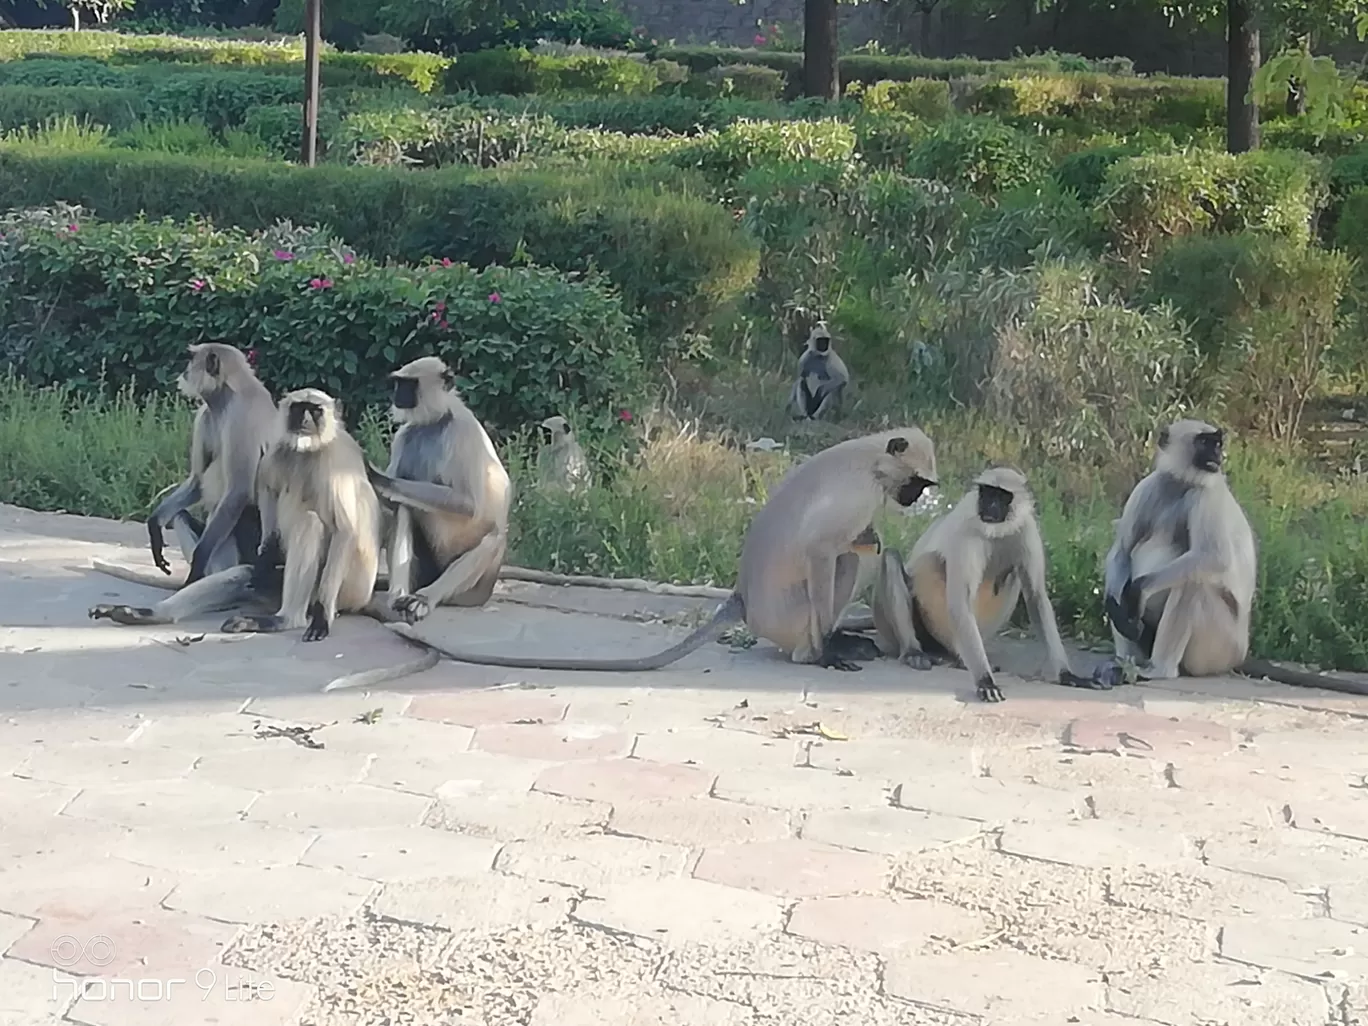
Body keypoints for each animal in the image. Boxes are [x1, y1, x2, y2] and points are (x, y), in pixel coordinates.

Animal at [88, 346, 277, 626]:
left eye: (190, 359)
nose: (182, 371)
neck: (225, 400)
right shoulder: (205, 416)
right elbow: (197, 481)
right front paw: (155, 526)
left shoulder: (241, 418)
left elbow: (238, 491)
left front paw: (196, 565)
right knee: (180, 515)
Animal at [221, 388, 380, 642]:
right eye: (299, 408)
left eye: (315, 410)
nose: (304, 420)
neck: (310, 451)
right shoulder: (280, 450)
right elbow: (267, 487)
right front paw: (268, 551)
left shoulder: (334, 464)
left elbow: (344, 531)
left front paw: (322, 616)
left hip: (351, 588)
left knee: (310, 521)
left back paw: (284, 619)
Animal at [366, 358, 511, 623]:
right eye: (399, 383)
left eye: (409, 385)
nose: (397, 395)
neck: (435, 421)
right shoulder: (405, 435)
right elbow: (395, 503)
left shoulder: (464, 430)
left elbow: (469, 505)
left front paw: (377, 476)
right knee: (405, 508)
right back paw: (399, 597)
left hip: (477, 588)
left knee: (495, 536)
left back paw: (424, 599)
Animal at [391, 426, 935, 675]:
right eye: (917, 482)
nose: (916, 498)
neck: (873, 458)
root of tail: (741, 599)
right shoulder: (859, 492)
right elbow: (825, 549)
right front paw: (826, 654)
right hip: (790, 617)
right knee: (852, 556)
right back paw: (815, 651)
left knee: (866, 549)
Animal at [870, 467, 1094, 705]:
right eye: (987, 493)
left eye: (1001, 497)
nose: (990, 506)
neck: (997, 531)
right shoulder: (967, 535)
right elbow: (960, 601)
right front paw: (986, 682)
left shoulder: (1026, 528)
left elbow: (1036, 596)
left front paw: (1066, 675)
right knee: (896, 558)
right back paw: (916, 652)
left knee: (1013, 576)